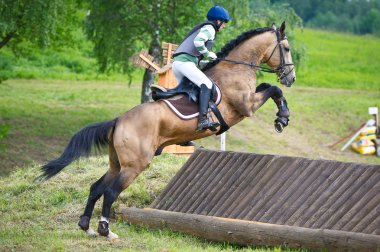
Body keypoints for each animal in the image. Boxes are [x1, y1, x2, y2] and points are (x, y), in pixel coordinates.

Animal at [36, 22, 296, 240]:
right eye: (286, 47)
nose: (291, 78)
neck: (235, 69)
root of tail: (118, 120)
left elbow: (269, 87)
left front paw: (282, 116)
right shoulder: (246, 106)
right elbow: (273, 89)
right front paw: (282, 117)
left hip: (117, 164)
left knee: (95, 188)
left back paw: (86, 226)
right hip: (134, 165)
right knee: (109, 192)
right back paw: (105, 230)